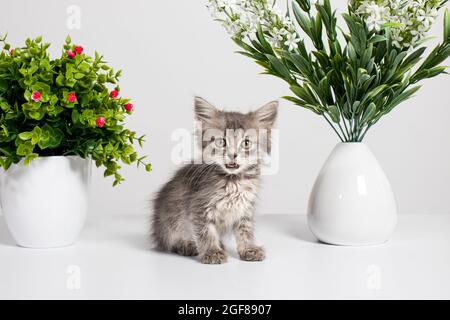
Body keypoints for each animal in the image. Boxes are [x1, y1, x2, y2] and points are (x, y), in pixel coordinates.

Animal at [152, 97, 278, 264]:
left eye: (246, 143)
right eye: (221, 142)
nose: (233, 155)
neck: (233, 181)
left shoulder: (245, 208)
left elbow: (245, 230)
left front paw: (248, 248)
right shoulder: (200, 207)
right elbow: (206, 232)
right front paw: (212, 252)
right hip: (169, 222)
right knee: (170, 241)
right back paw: (188, 245)